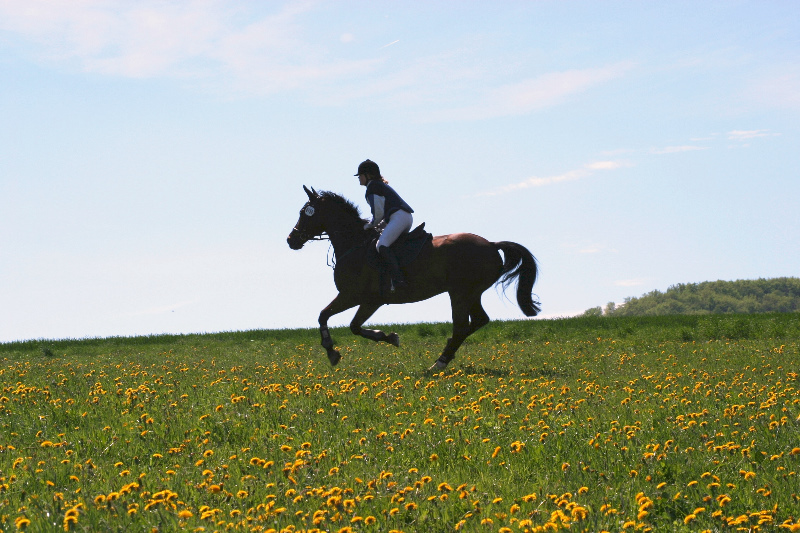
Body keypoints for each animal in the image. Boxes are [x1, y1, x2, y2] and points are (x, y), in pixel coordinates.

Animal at [284, 186, 540, 370]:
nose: (291, 240)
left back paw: (439, 363)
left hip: (459, 293)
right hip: (471, 293)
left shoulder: (359, 297)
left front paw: (332, 351)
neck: (353, 245)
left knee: (461, 326)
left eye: (305, 212)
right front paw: (388, 337)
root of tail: (491, 245)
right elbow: (347, 324)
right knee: (478, 321)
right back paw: (446, 354)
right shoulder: (364, 300)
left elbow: (330, 317)